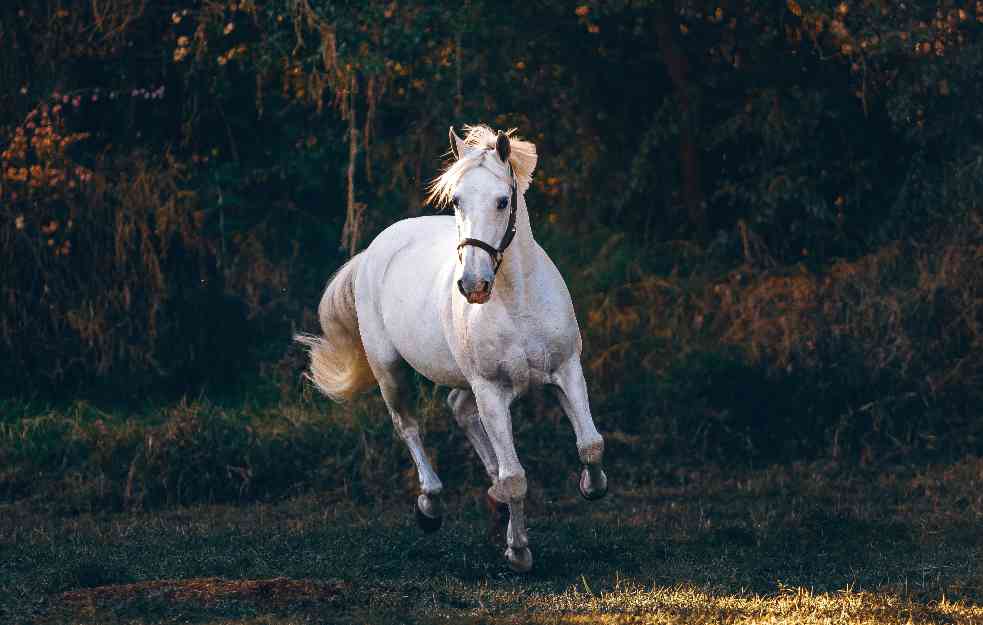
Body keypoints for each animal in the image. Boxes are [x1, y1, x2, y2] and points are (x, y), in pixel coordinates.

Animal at [296, 124, 608, 572]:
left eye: (502, 201)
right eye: (457, 200)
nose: (472, 285)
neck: (518, 301)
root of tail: (373, 250)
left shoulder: (566, 370)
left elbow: (590, 445)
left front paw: (589, 486)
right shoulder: (490, 390)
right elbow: (516, 477)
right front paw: (518, 552)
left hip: (462, 379)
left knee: (459, 409)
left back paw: (491, 497)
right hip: (390, 370)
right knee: (408, 426)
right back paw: (430, 506)